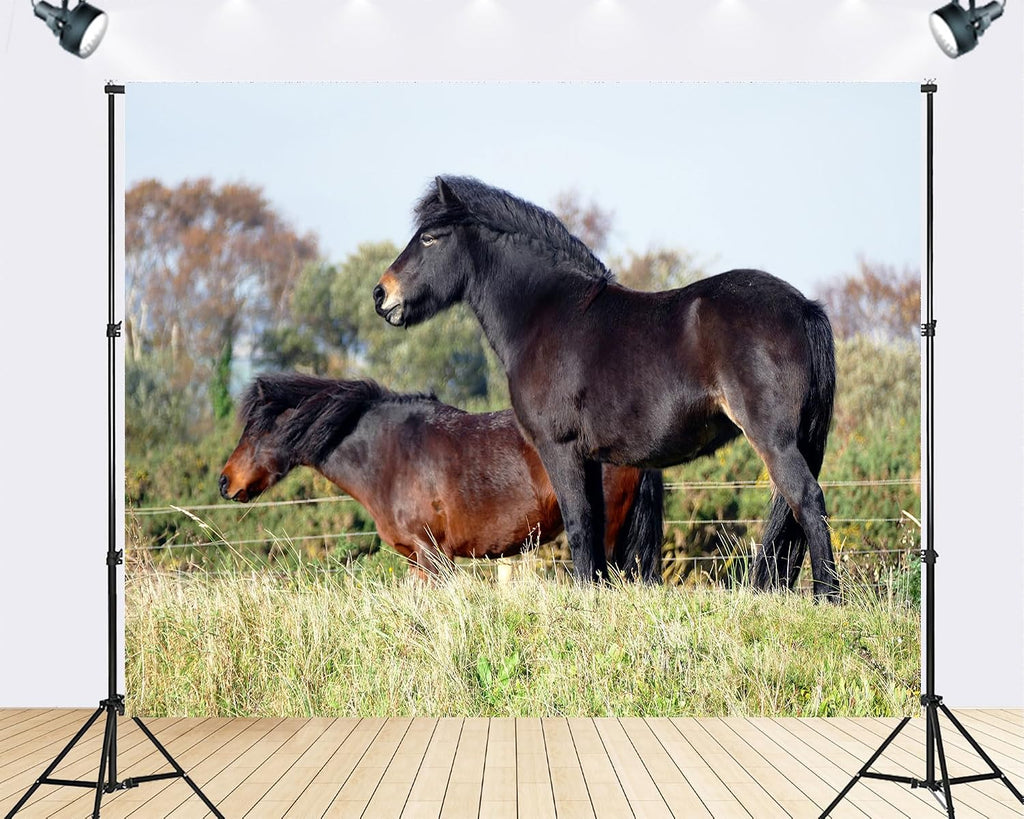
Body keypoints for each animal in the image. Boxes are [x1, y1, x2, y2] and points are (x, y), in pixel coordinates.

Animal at [373, 175, 839, 600]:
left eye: (429, 238)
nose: (381, 294)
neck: (547, 315)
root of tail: (803, 306)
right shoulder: (592, 457)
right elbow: (595, 528)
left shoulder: (559, 448)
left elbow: (579, 524)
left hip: (774, 440)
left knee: (808, 500)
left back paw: (829, 595)